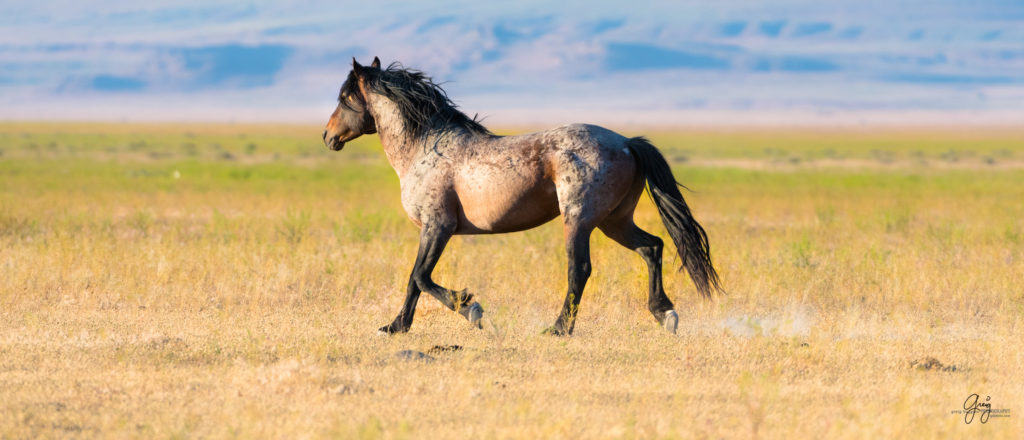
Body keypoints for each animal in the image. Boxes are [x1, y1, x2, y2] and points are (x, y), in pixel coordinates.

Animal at [321, 56, 720, 335]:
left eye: (344, 97)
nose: (328, 136)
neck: (425, 148)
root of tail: (626, 143)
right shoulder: (433, 230)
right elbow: (414, 280)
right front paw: (395, 327)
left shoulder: (438, 226)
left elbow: (420, 277)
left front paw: (470, 309)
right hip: (614, 221)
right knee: (652, 247)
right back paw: (665, 314)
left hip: (579, 220)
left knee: (580, 270)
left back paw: (558, 329)